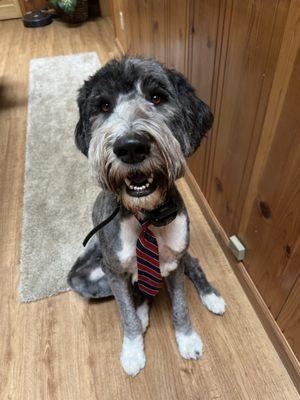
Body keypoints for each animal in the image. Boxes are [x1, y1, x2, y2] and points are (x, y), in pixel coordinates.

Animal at [67, 56, 225, 376]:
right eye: (103, 106)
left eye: (157, 97)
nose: (130, 146)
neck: (146, 218)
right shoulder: (114, 272)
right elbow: (125, 311)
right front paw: (132, 349)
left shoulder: (175, 261)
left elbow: (180, 306)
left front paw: (187, 339)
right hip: (86, 277)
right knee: (139, 291)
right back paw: (141, 315)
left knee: (193, 266)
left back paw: (211, 296)